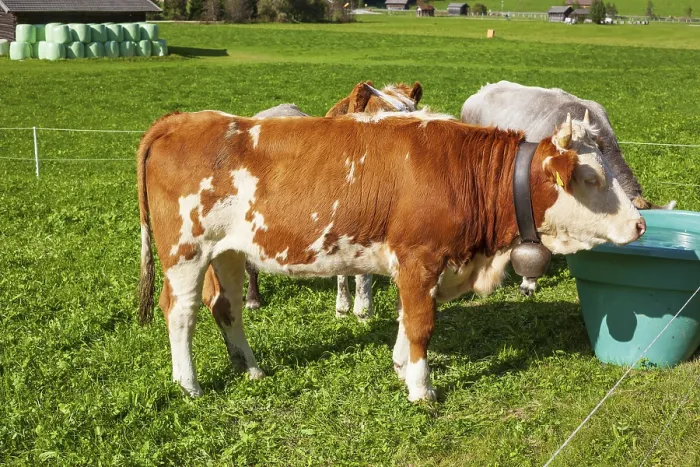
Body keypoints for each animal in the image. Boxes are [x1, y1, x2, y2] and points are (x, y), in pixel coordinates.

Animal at [137, 110, 645, 401]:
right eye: (593, 178)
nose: (639, 224)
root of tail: (181, 119)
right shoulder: (419, 257)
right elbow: (421, 322)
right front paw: (422, 389)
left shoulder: (419, 266)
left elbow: (407, 316)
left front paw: (402, 366)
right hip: (186, 251)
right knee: (180, 311)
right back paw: (189, 384)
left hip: (227, 250)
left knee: (226, 306)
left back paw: (251, 367)